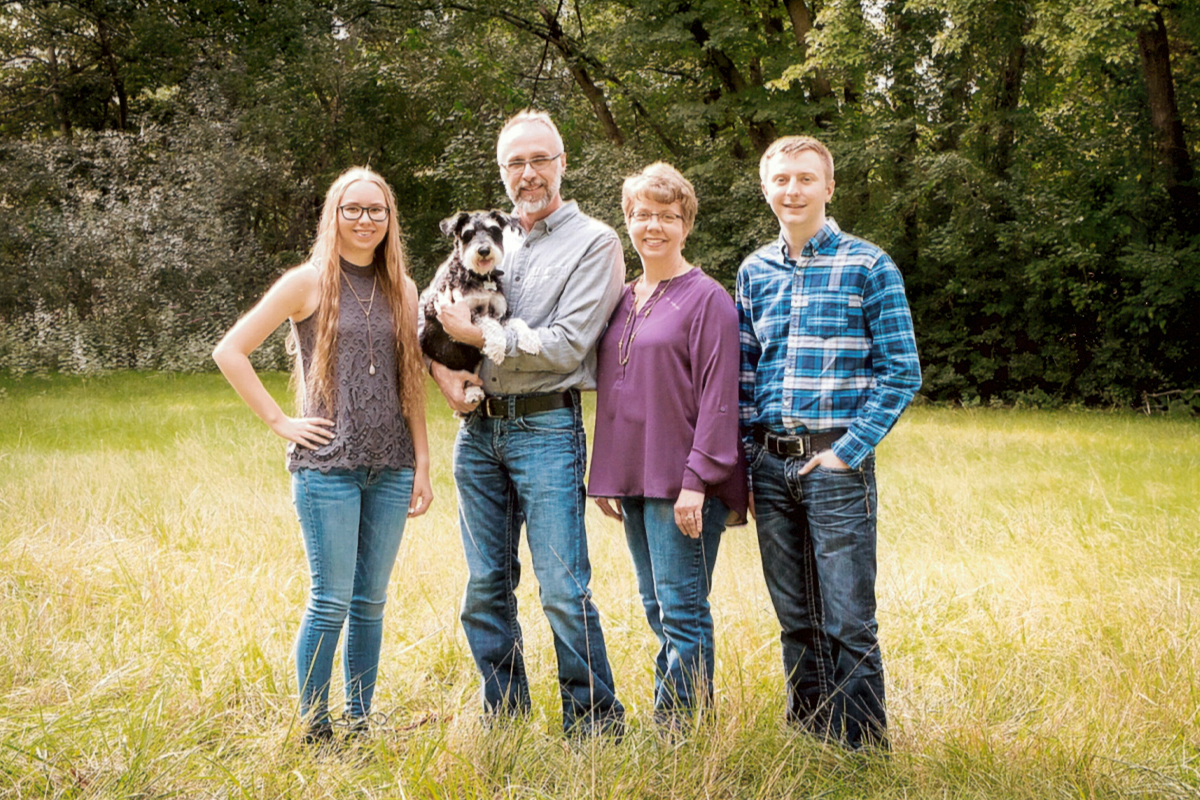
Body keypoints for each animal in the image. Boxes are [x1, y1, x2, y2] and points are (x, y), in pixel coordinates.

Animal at [417, 209, 540, 402]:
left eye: (493, 230)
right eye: (468, 234)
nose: (483, 250)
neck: (480, 278)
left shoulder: (501, 313)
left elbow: (516, 322)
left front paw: (531, 339)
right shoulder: (463, 312)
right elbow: (489, 323)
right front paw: (497, 348)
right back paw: (472, 393)